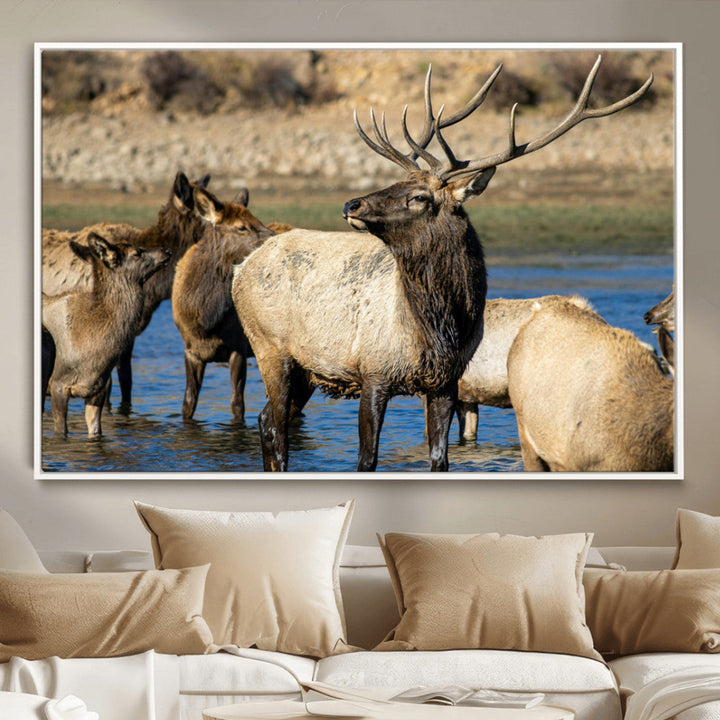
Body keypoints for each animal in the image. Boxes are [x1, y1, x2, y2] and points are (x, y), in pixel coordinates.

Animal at [42, 232, 170, 437]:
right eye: (137, 252)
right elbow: (61, 431)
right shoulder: (57, 385)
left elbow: (96, 431)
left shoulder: (98, 388)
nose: (167, 251)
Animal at [172, 185, 274, 422]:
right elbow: (187, 404)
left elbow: (237, 405)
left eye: (258, 220)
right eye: (242, 227)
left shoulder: (239, 347)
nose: (275, 238)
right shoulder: (191, 350)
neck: (206, 319)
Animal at [231, 55, 653, 472]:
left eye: (418, 196)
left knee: (267, 419)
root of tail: (242, 267)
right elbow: (367, 460)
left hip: (303, 368)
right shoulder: (374, 371)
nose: (351, 204)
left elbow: (440, 459)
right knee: (275, 426)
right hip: (270, 347)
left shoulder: (447, 383)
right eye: (397, 182)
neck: (438, 329)